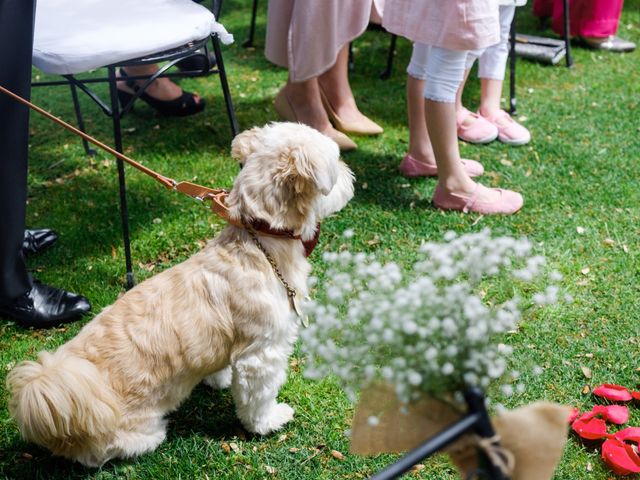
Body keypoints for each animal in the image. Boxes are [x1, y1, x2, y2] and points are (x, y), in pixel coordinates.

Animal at [6, 122, 356, 466]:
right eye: (336, 162)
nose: (349, 173)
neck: (260, 239)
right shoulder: (262, 353)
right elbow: (258, 396)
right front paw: (266, 422)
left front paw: (218, 379)